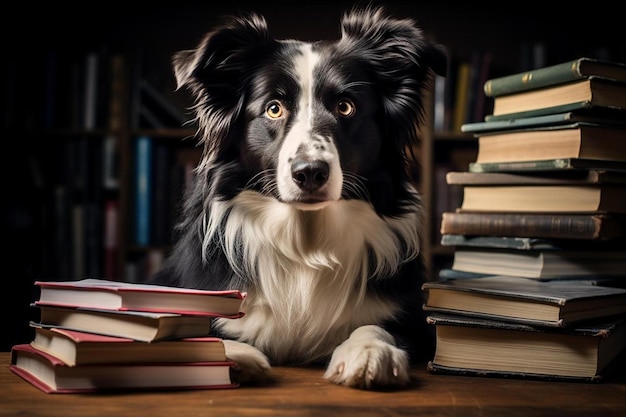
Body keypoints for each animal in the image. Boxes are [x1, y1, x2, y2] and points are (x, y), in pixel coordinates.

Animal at [149, 5, 446, 390]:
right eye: (274, 108)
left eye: (346, 107)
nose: (310, 172)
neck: (306, 240)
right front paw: (236, 355)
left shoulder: (413, 321)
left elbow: (377, 326)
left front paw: (369, 353)